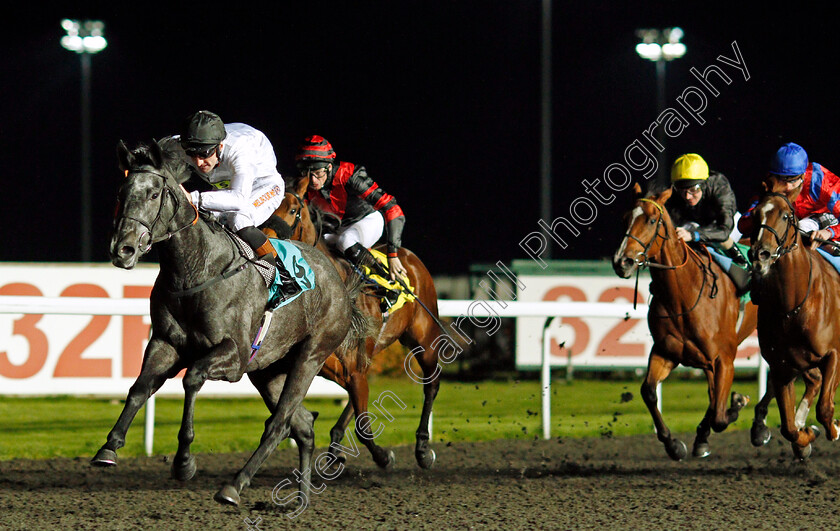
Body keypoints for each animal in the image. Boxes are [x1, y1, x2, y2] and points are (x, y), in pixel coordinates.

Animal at [88, 140, 370, 508]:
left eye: (153, 194)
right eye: (122, 193)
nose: (122, 249)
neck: (196, 269)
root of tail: (338, 281)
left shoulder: (233, 356)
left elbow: (192, 378)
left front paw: (184, 461)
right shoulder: (166, 343)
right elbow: (139, 388)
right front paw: (109, 447)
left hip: (310, 356)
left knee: (279, 424)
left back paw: (234, 485)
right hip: (268, 370)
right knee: (303, 425)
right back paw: (300, 499)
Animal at [264, 177, 442, 472]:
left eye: (292, 210)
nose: (265, 241)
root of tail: (409, 256)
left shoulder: (353, 367)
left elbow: (362, 426)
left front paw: (384, 456)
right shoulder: (333, 365)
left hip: (423, 340)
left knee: (431, 384)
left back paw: (423, 449)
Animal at [612, 184, 756, 462]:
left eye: (652, 220)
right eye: (624, 218)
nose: (621, 262)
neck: (683, 295)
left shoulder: (724, 358)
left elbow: (720, 415)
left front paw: (738, 403)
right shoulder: (666, 352)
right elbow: (648, 391)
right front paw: (674, 444)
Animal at [744, 182, 836, 458]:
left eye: (786, 216)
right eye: (755, 215)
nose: (760, 254)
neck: (793, 304)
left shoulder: (833, 354)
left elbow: (825, 409)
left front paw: (833, 428)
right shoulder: (782, 365)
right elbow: (788, 428)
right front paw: (806, 436)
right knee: (813, 382)